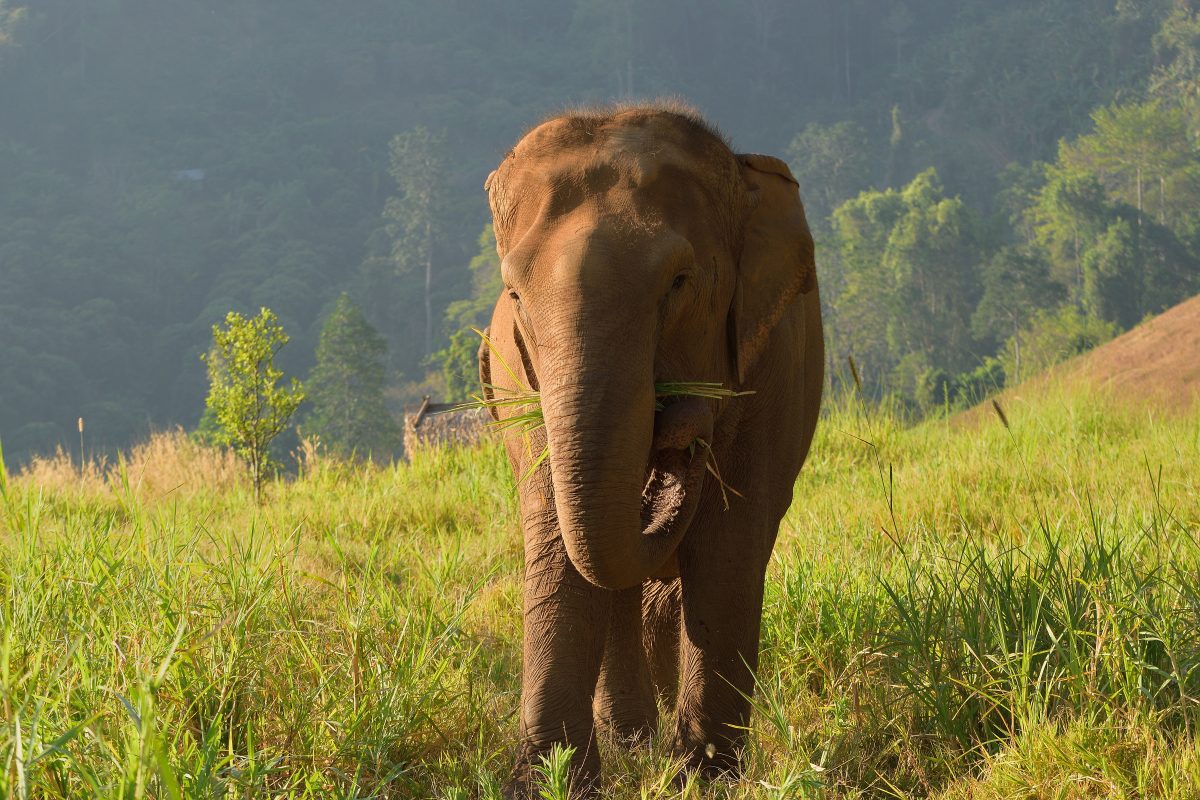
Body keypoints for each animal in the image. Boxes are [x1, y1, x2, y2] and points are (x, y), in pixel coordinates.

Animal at [480, 103, 825, 796]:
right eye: (515, 296)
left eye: (679, 282)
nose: (681, 426)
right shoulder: (525, 393)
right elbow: (560, 545)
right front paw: (551, 780)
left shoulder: (770, 370)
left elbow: (727, 547)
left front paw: (704, 776)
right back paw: (633, 739)